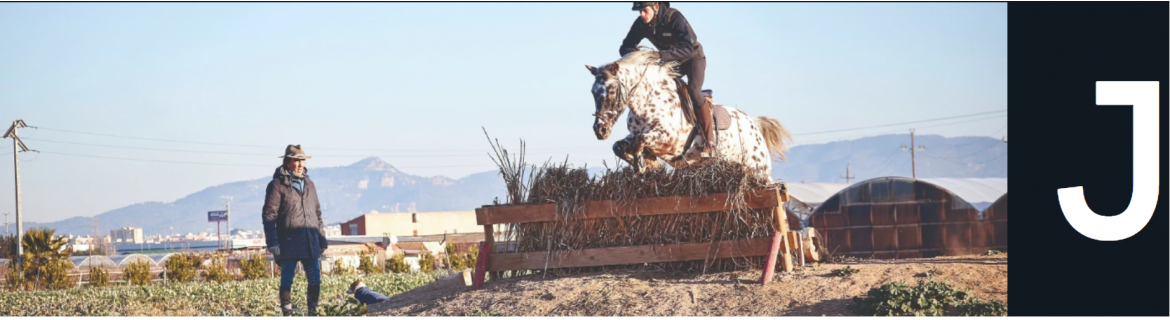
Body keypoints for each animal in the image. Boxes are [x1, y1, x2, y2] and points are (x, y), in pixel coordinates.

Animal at [585, 50, 795, 179]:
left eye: (611, 91)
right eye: (593, 92)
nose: (600, 130)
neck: (648, 101)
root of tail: (754, 124)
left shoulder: (668, 139)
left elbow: (640, 142)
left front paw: (644, 165)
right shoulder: (636, 134)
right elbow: (619, 146)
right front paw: (649, 165)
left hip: (758, 170)